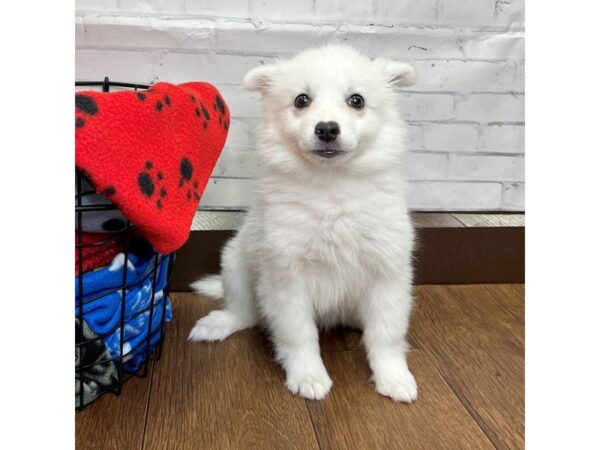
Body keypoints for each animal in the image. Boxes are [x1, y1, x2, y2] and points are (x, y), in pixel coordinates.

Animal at [190, 44, 420, 404]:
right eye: (301, 100)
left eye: (357, 100)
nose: (326, 128)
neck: (332, 187)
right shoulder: (286, 274)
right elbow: (298, 333)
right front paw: (308, 377)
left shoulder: (387, 270)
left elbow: (386, 333)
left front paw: (394, 378)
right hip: (237, 266)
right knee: (244, 312)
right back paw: (217, 325)